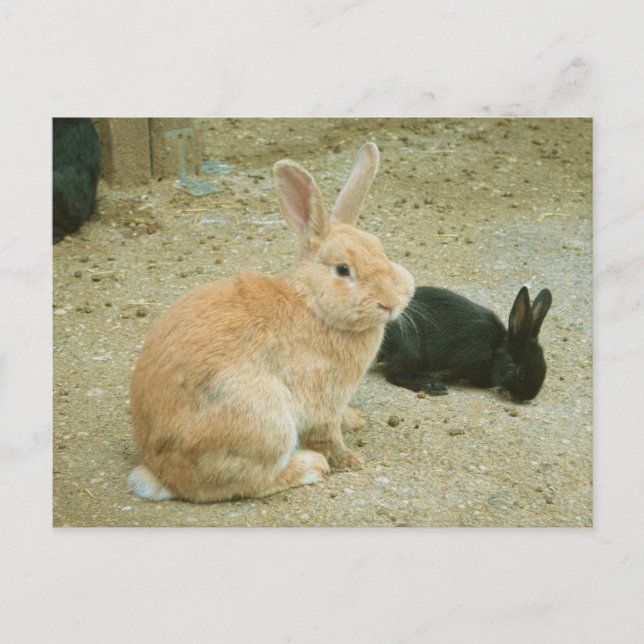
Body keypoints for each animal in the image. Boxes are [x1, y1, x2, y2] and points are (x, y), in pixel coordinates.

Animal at [128, 142, 415, 503]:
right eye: (342, 270)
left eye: (380, 249)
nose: (391, 301)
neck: (312, 303)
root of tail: (162, 473)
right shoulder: (321, 398)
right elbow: (327, 435)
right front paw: (350, 460)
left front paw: (355, 419)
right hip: (266, 419)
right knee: (250, 482)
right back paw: (311, 466)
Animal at [377, 285, 552, 401]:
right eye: (520, 372)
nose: (528, 396)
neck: (494, 349)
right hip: (410, 350)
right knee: (395, 374)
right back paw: (432, 385)